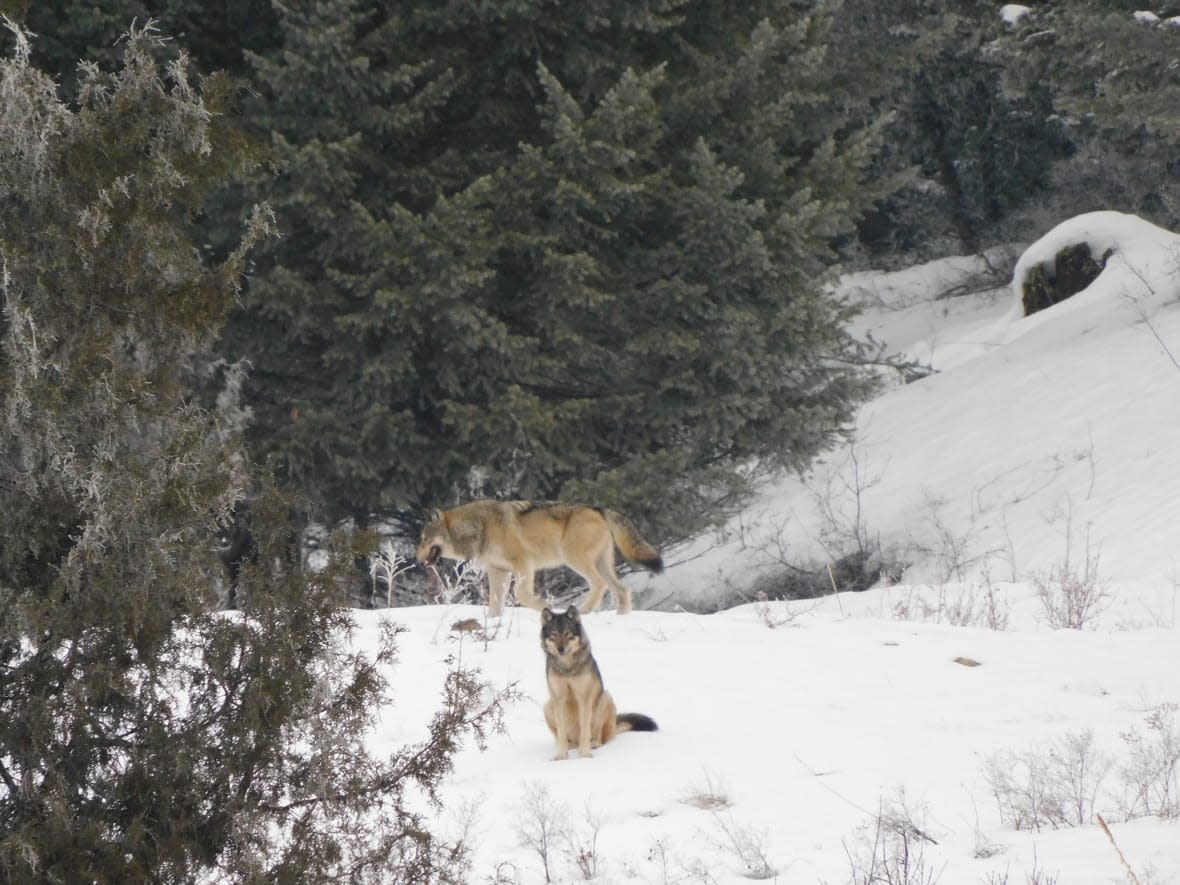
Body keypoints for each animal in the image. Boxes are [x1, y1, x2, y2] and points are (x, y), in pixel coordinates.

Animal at [415, 500, 665, 618]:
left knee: (601, 584)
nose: (417, 559)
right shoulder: (498, 571)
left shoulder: (523, 563)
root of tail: (599, 508)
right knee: (623, 589)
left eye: (425, 539)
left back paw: (582, 611)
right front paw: (492, 621)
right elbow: (494, 603)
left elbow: (521, 595)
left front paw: (546, 606)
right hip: (601, 564)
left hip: (576, 560)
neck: (479, 527)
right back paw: (621, 615)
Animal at [540, 608, 660, 764]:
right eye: (554, 635)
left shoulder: (584, 698)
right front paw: (561, 756)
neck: (567, 667)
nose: (561, 649)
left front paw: (585, 755)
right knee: (566, 738)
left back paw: (594, 743)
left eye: (567, 634)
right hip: (548, 705)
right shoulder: (558, 699)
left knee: (599, 737)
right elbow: (561, 734)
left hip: (605, 698)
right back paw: (571, 746)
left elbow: (585, 730)